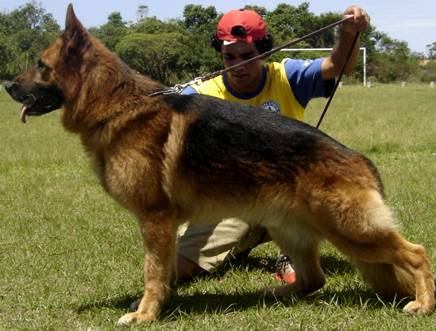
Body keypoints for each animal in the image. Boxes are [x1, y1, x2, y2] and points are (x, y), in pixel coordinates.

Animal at [5, 3, 434, 326]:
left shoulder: (154, 221)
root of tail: (359, 160)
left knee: (416, 253)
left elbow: (152, 272)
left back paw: (423, 303)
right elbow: (162, 271)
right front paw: (155, 305)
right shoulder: (161, 227)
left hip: (349, 228)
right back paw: (274, 292)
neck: (117, 105)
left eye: (41, 65)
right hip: (292, 230)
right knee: (314, 279)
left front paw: (145, 314)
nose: (8, 86)